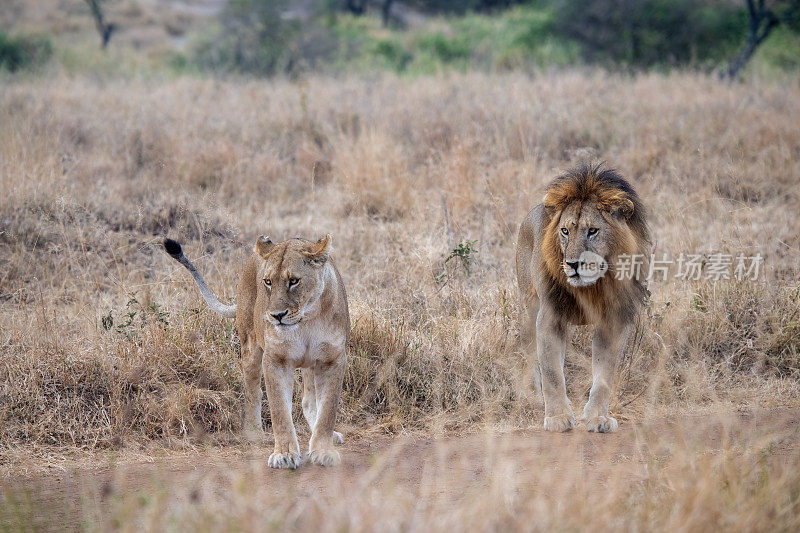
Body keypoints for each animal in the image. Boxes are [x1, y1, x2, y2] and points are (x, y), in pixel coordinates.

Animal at [164, 235, 348, 468]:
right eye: (267, 282)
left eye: (294, 281)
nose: (277, 315)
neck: (306, 320)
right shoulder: (276, 359)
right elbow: (279, 410)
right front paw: (284, 454)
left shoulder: (332, 359)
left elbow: (328, 410)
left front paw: (323, 450)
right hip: (250, 345)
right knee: (253, 390)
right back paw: (254, 432)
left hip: (310, 363)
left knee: (308, 400)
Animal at [516, 162, 652, 432]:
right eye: (565, 231)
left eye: (592, 231)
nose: (572, 264)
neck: (593, 287)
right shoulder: (550, 318)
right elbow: (551, 373)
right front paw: (557, 417)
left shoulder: (613, 322)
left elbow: (604, 375)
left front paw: (597, 418)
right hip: (529, 308)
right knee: (530, 353)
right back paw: (532, 395)